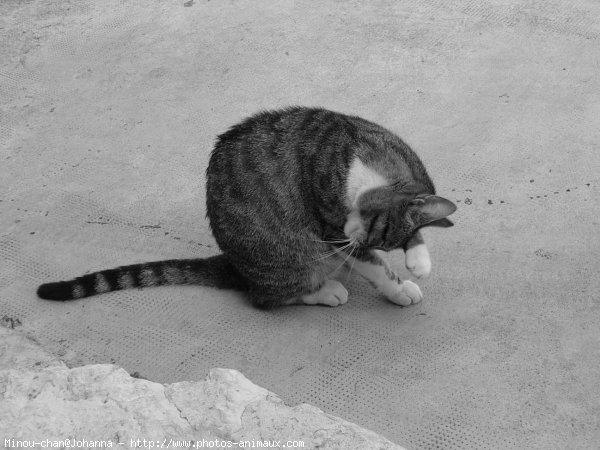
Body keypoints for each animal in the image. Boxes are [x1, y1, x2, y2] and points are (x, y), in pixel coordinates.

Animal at [37, 106, 458, 310]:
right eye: (371, 231)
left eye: (382, 234)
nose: (355, 240)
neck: (368, 165)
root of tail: (234, 265)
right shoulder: (330, 229)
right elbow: (374, 266)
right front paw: (398, 288)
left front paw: (418, 259)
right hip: (293, 255)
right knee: (266, 298)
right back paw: (325, 291)